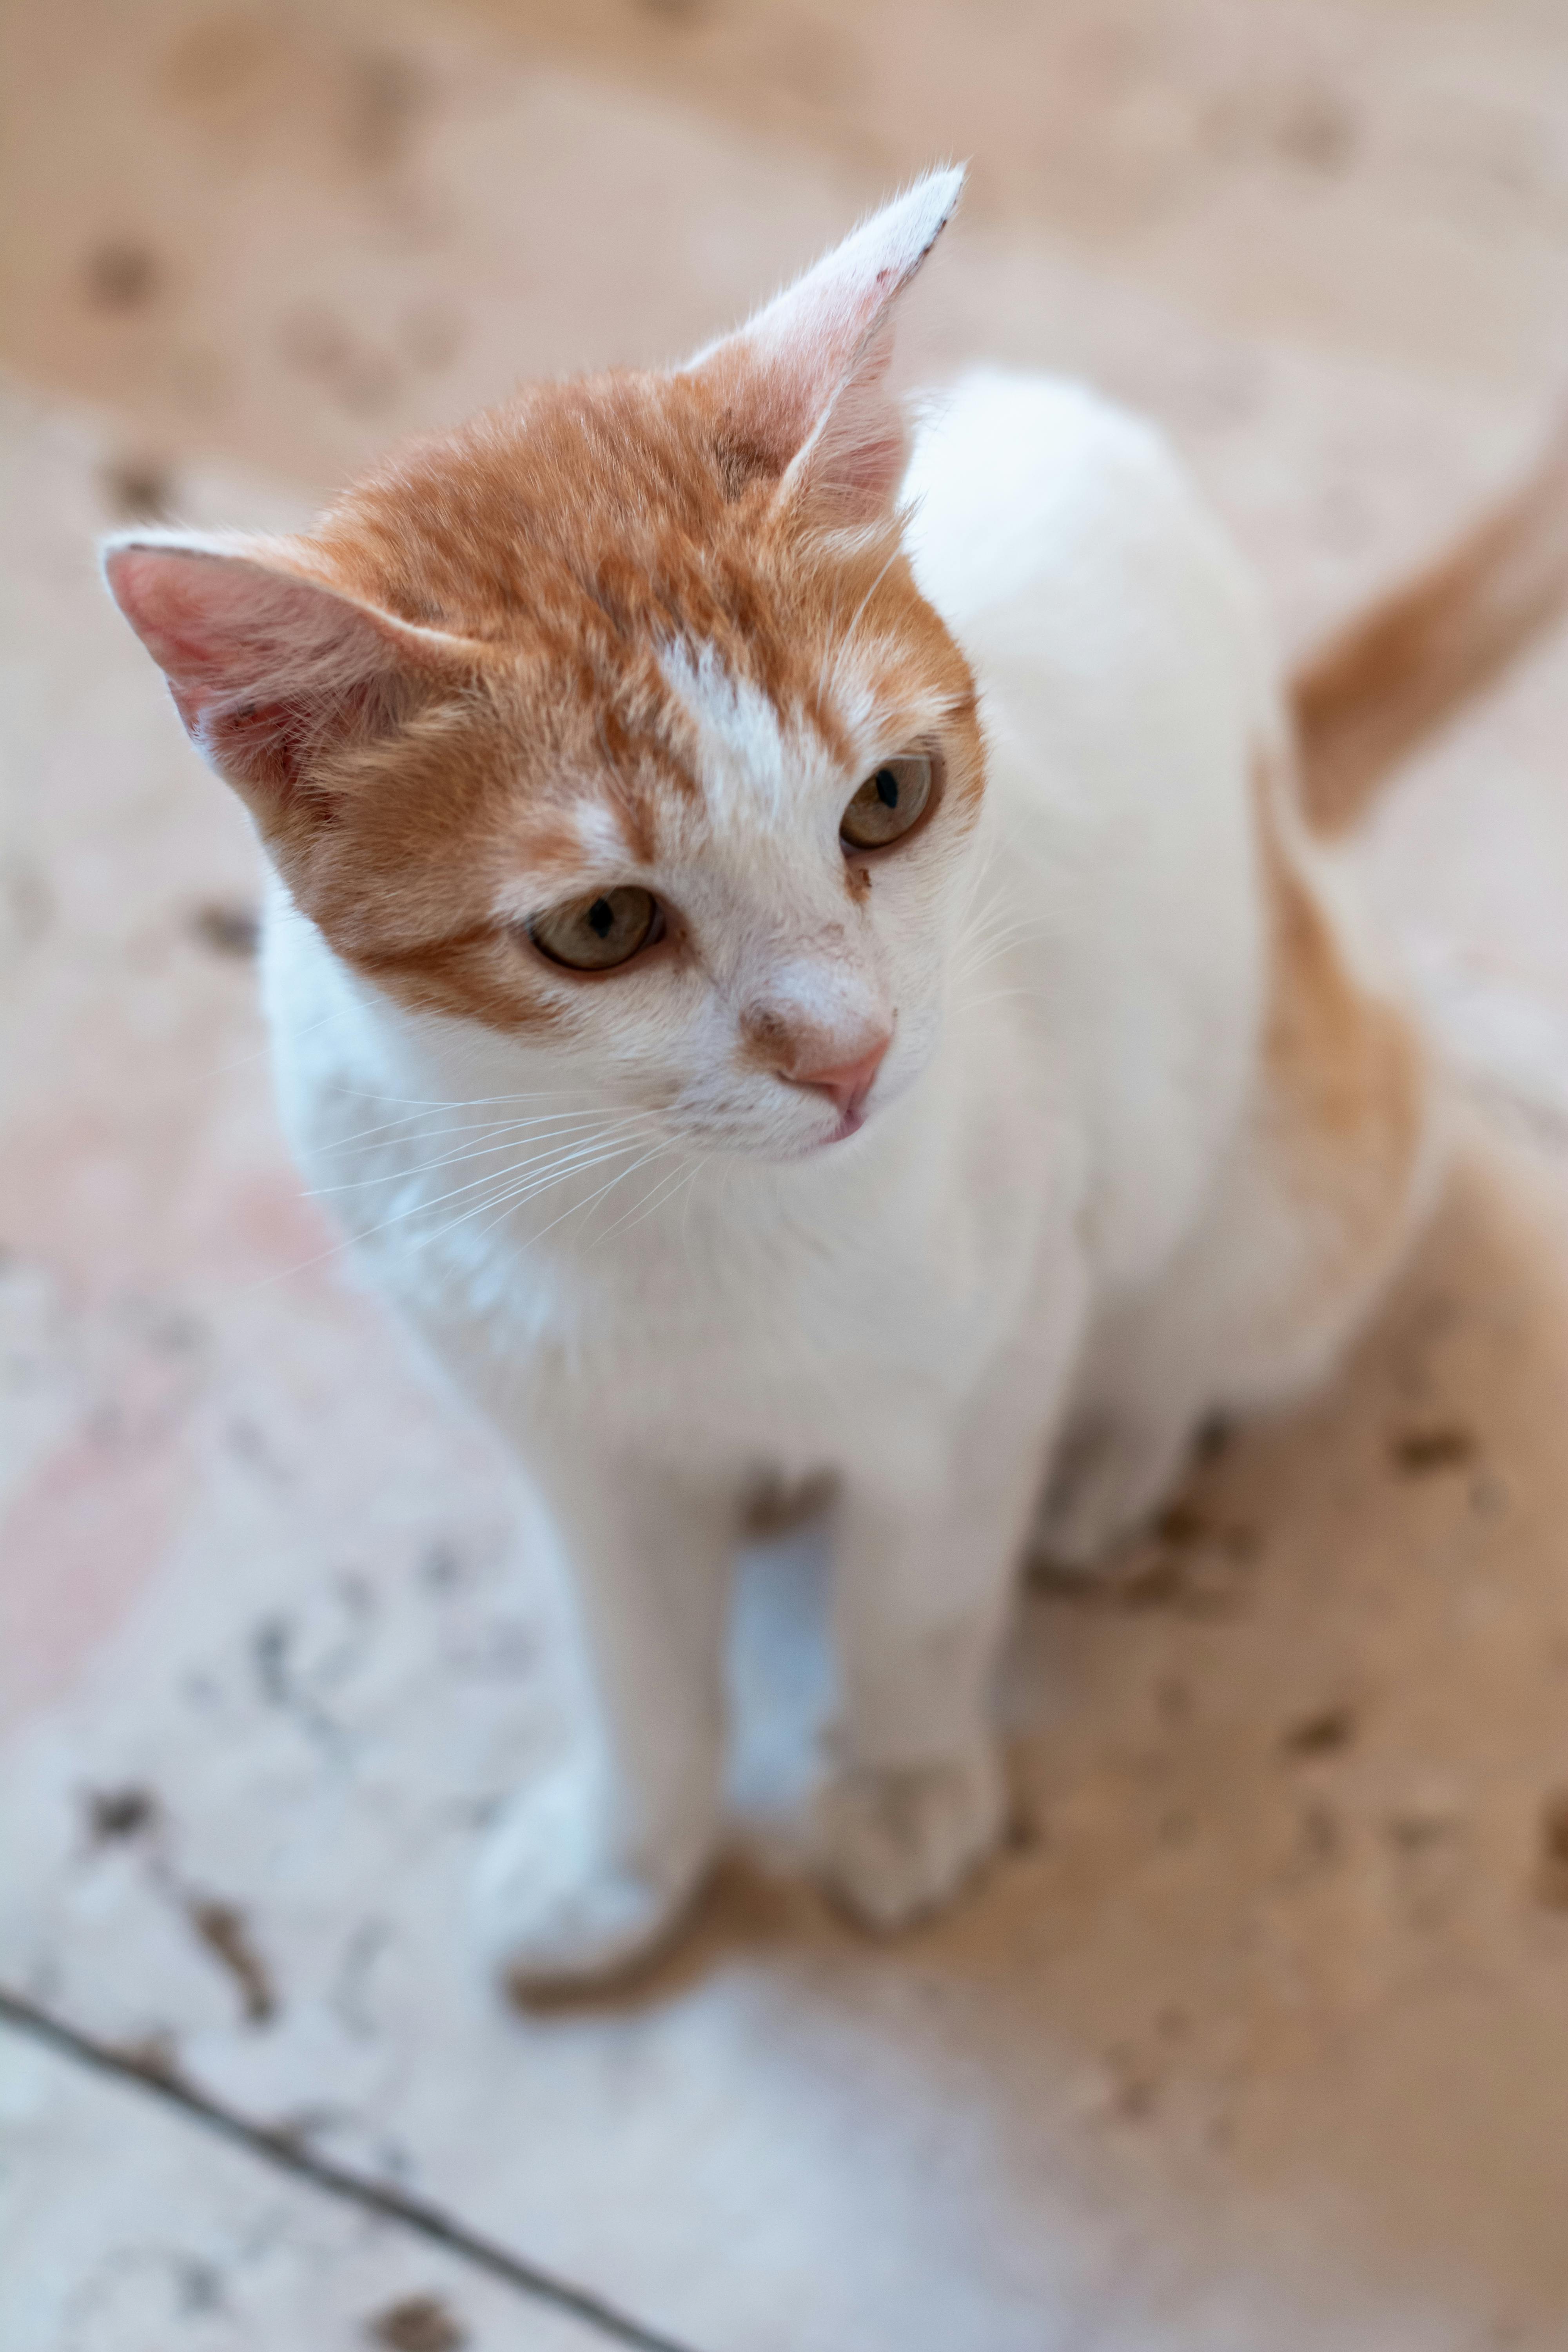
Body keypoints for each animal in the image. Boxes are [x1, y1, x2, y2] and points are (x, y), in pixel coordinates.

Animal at [104, 174, 1568, 1994]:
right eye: (599, 926)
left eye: (886, 799)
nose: (851, 1052)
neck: (649, 1212)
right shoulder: (561, 1435)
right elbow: (639, 1665)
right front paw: (623, 1863)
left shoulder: (998, 1330)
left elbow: (919, 1596)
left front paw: (899, 1781)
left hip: (1278, 1146)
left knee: (1198, 1310)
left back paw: (1114, 1460)